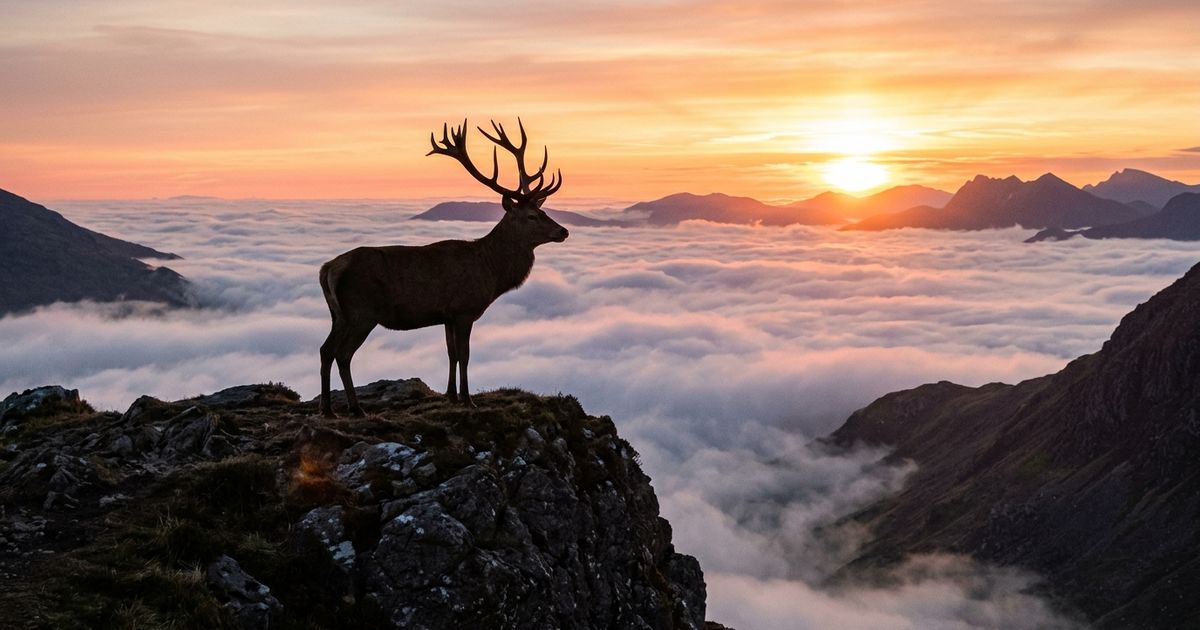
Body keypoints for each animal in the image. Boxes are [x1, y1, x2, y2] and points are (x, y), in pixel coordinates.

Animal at [318, 119, 569, 418]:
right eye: (531, 216)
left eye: (544, 211)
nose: (563, 231)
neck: (491, 273)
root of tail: (328, 269)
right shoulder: (464, 310)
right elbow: (465, 355)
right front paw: (468, 400)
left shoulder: (447, 316)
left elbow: (451, 353)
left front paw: (451, 395)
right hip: (361, 312)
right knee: (342, 354)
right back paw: (355, 408)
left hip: (338, 314)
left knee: (325, 350)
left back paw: (327, 409)